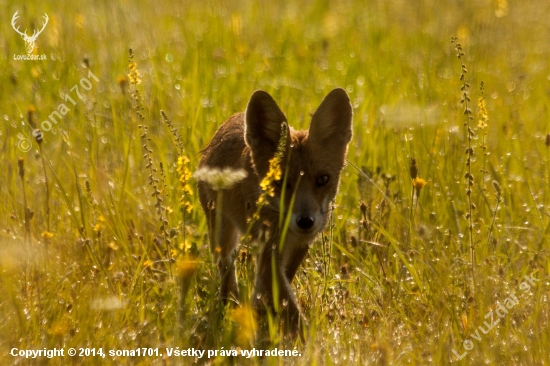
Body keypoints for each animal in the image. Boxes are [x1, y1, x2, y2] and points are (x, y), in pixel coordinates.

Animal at [198, 88, 354, 334]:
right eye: (280, 181)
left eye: (323, 179)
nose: (305, 221)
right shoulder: (269, 250)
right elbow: (288, 305)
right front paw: (308, 340)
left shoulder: (299, 246)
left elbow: (280, 287)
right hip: (223, 234)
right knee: (226, 267)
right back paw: (229, 305)